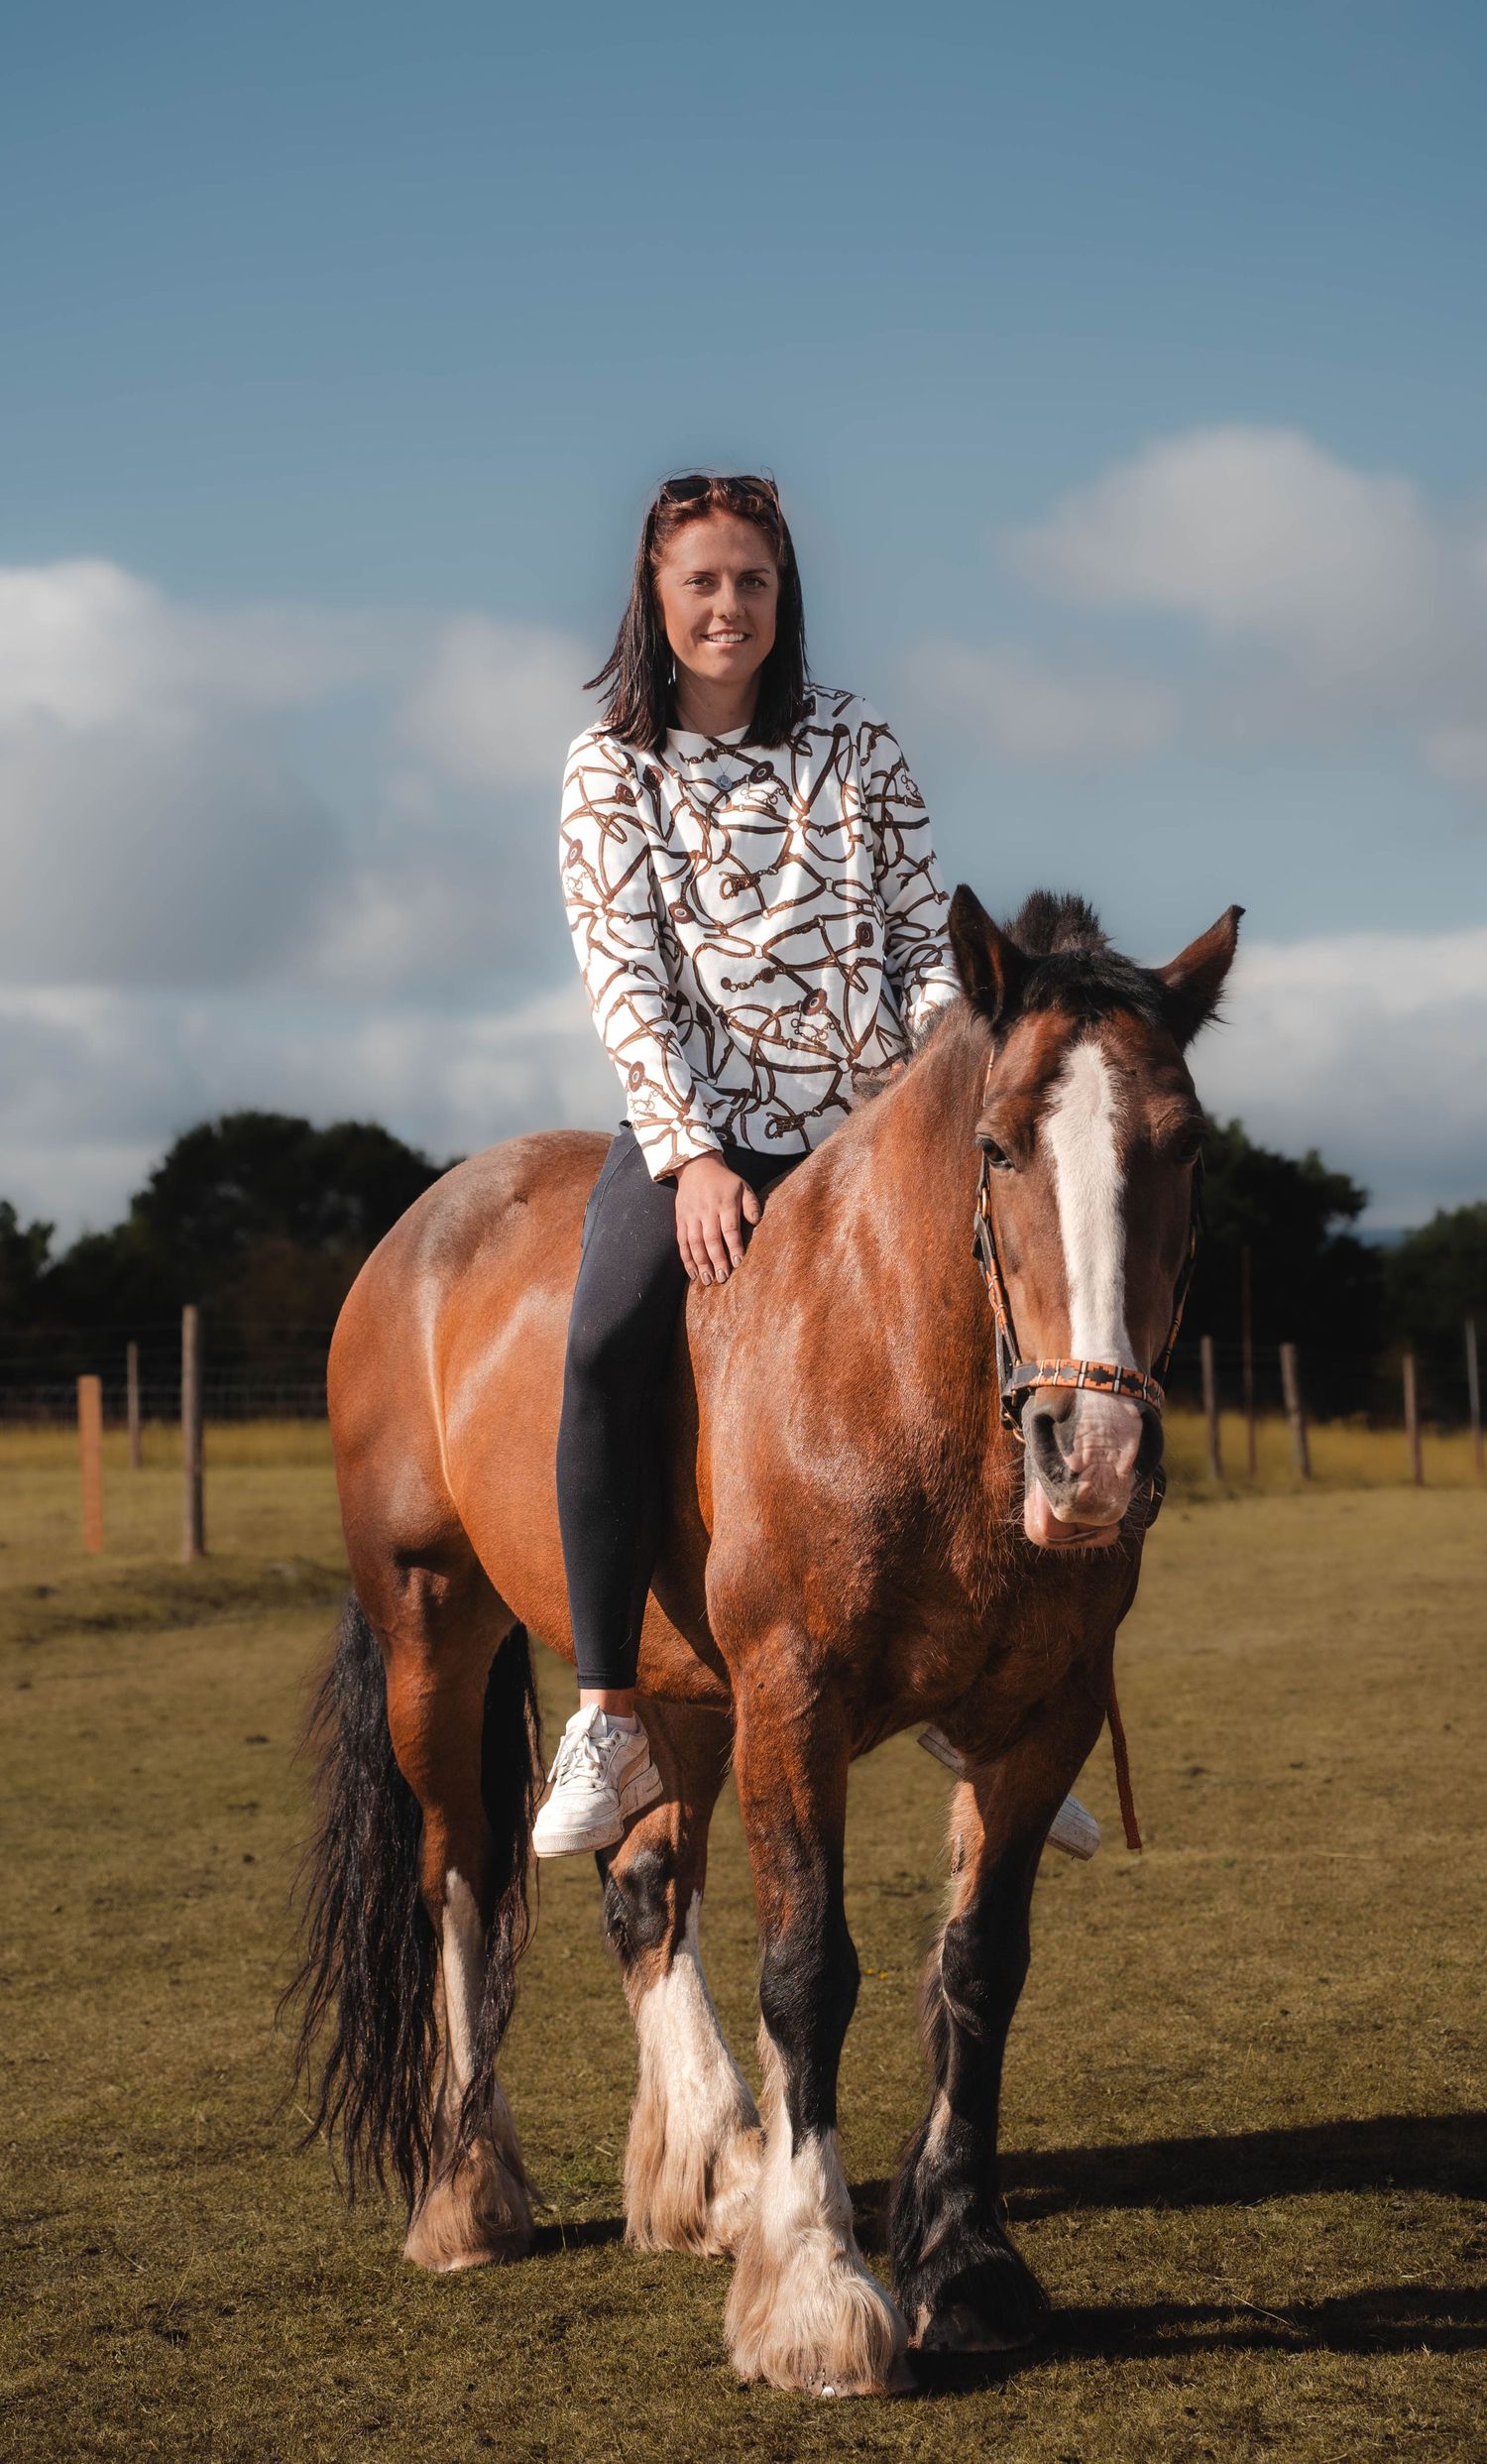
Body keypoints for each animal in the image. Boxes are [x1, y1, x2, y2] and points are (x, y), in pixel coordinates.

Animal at [288, 882, 1240, 2397]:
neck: (898, 1360)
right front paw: (817, 2288)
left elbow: (981, 1967)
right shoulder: (797, 1698)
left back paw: (711, 2170)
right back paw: (471, 2191)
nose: (1091, 1454)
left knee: (642, 1890)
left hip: (677, 1692)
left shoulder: (1039, 1720)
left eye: (1186, 1147)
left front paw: (963, 2260)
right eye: (998, 1145)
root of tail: (422, 1227)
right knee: (462, 1876)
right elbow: (808, 1965)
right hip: (433, 1630)